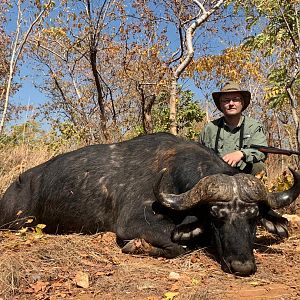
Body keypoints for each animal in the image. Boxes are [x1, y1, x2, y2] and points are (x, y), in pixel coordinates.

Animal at [0, 132, 300, 276]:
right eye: (216, 215)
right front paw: (138, 246)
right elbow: (178, 246)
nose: (242, 266)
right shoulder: (133, 224)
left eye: (253, 217)